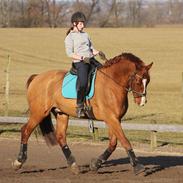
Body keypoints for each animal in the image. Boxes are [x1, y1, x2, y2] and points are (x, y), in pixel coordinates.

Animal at [12, 52, 153, 175]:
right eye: (138, 81)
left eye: (148, 81)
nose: (142, 101)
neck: (112, 83)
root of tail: (37, 77)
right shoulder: (111, 118)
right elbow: (125, 141)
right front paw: (138, 167)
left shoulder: (114, 119)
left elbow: (113, 144)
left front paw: (95, 164)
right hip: (39, 112)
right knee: (25, 131)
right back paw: (18, 162)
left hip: (61, 113)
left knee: (60, 137)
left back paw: (74, 166)